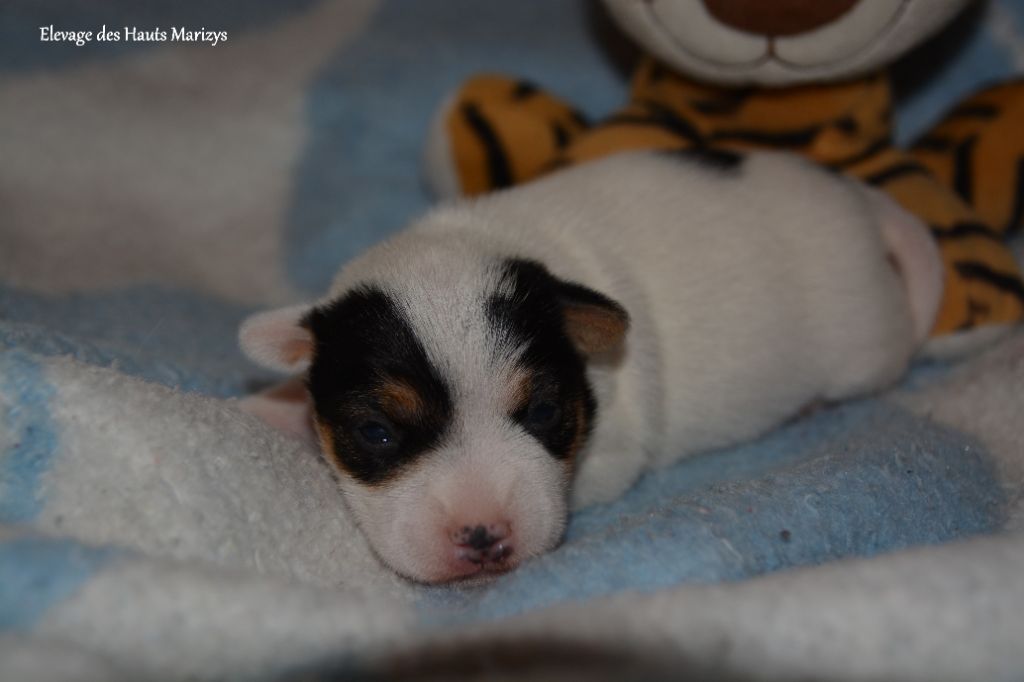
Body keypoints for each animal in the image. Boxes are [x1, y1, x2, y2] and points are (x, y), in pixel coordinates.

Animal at [239, 151, 942, 581]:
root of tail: (861, 202)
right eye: (376, 433)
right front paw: (271, 405)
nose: (482, 536)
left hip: (866, 346)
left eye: (545, 411)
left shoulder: (614, 451)